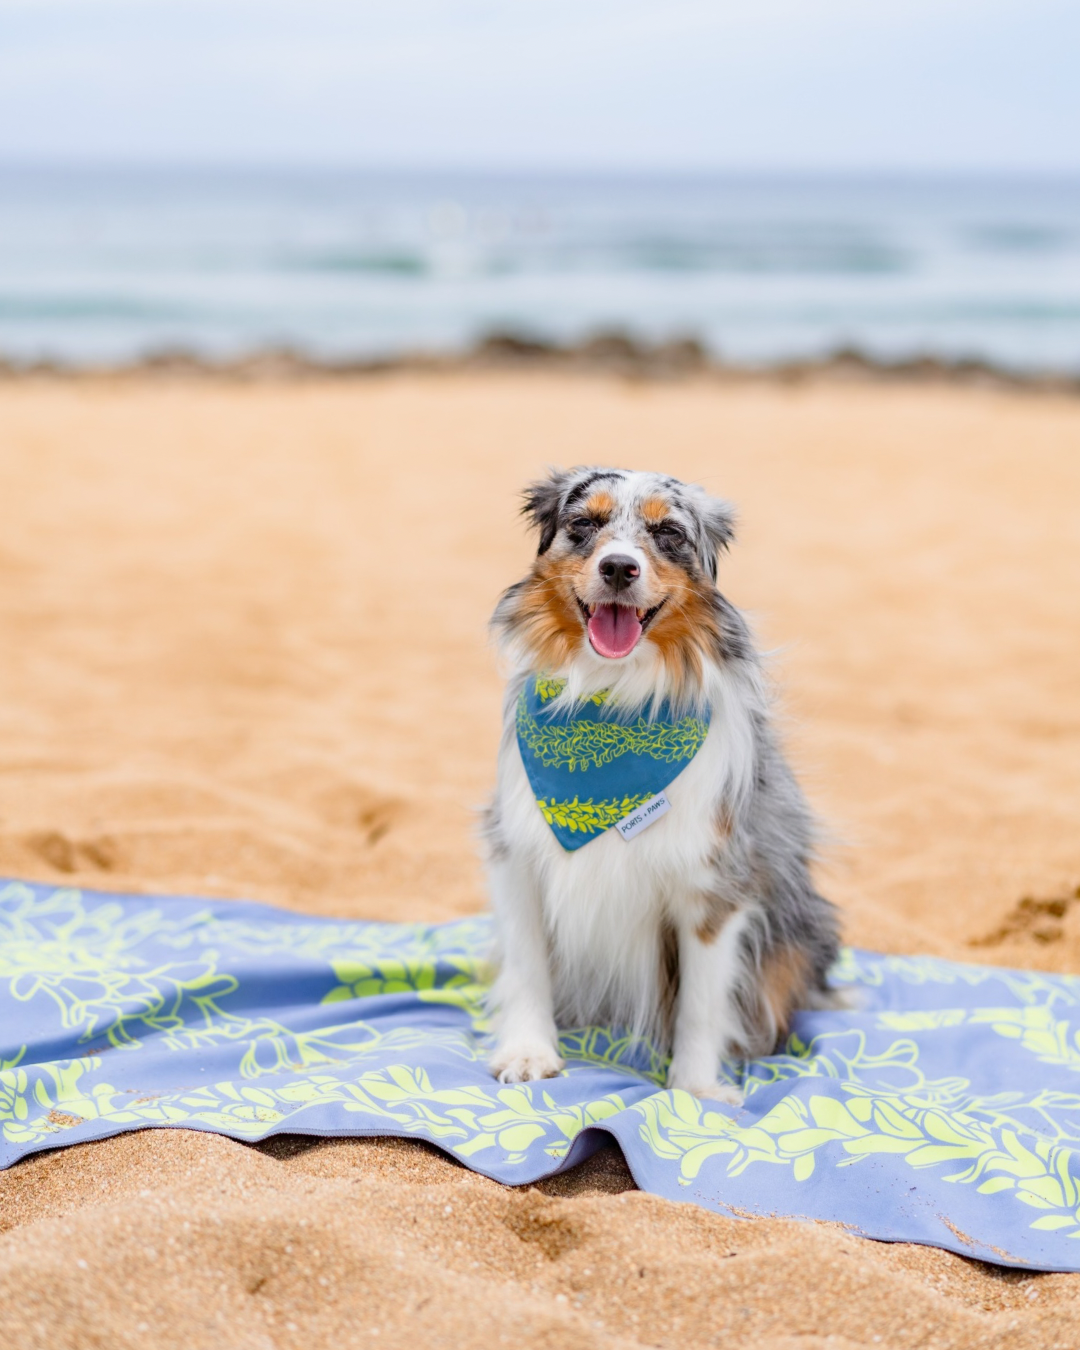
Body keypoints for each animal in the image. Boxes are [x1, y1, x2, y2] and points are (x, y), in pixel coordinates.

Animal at [483, 469, 842, 1101]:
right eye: (584, 524)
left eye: (669, 532)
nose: (619, 568)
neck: (610, 699)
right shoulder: (517, 853)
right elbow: (527, 968)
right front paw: (528, 1051)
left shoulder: (715, 883)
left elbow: (702, 1002)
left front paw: (695, 1090)